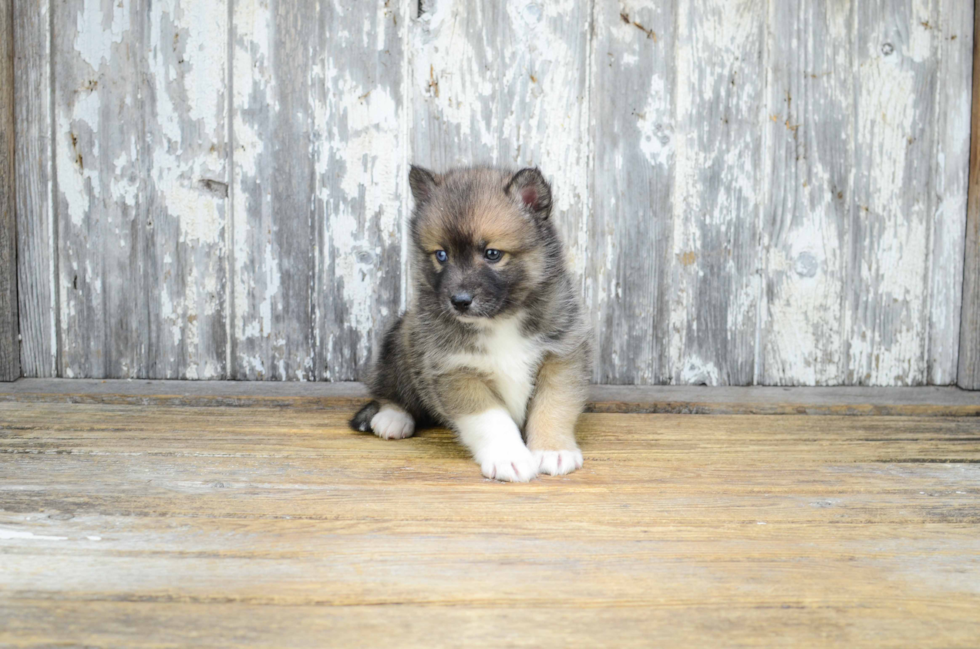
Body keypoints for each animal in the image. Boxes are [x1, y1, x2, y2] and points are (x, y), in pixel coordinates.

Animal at [350, 167, 588, 480]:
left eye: (492, 254)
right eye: (441, 255)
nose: (459, 301)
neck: (500, 319)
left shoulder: (560, 355)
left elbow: (553, 405)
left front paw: (552, 449)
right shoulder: (455, 370)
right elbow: (491, 419)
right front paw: (508, 458)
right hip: (401, 342)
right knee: (389, 389)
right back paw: (392, 417)